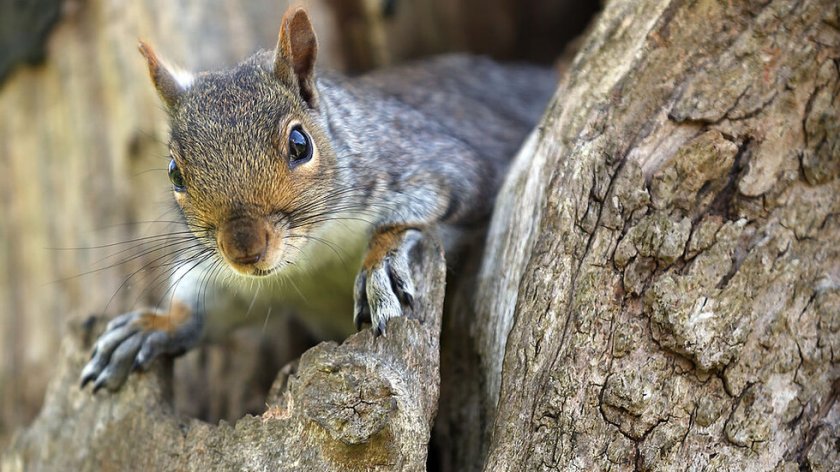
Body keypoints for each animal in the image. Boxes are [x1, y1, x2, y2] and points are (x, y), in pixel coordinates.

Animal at [80, 7, 556, 392]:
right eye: (174, 173)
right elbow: (210, 304)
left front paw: (380, 264)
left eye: (300, 144)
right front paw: (153, 326)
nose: (244, 250)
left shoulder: (438, 164)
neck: (311, 257)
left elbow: (419, 211)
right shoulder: (238, 280)